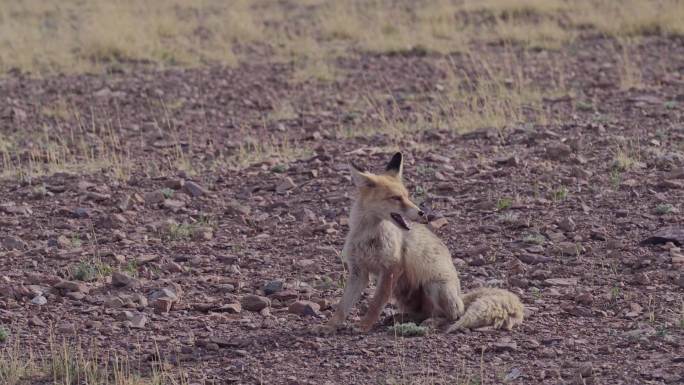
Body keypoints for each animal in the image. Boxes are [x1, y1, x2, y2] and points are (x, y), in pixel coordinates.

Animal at [318, 151, 528, 332]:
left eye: (407, 196)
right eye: (396, 198)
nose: (422, 213)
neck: (369, 236)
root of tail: (460, 297)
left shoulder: (392, 268)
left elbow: (376, 303)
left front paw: (364, 326)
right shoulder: (358, 271)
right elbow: (343, 305)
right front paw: (329, 326)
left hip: (434, 286)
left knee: (451, 316)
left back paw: (432, 322)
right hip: (403, 293)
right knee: (421, 314)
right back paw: (402, 318)